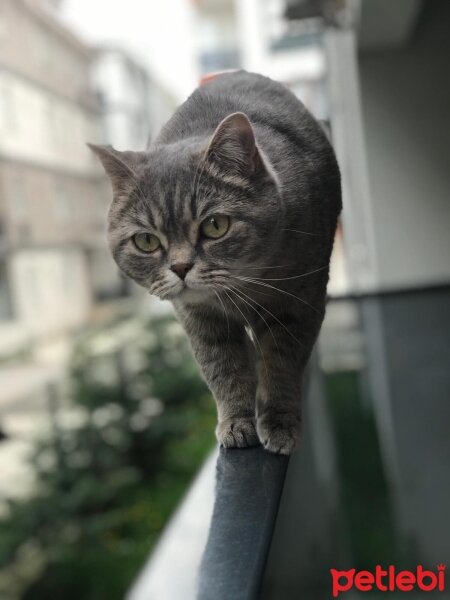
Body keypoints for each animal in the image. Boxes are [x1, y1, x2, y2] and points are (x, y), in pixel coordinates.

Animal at [89, 70, 342, 452]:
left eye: (215, 225)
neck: (242, 287)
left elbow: (281, 363)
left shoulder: (298, 301)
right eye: (146, 241)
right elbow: (223, 369)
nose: (180, 268)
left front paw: (279, 422)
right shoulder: (201, 318)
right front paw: (237, 422)